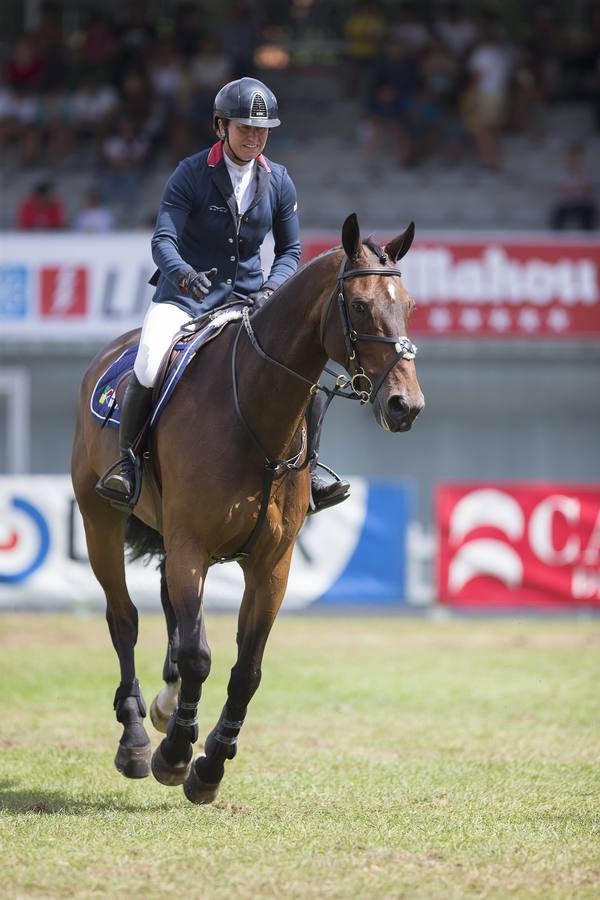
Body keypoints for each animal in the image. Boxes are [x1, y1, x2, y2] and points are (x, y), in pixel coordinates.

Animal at [70, 214, 424, 804]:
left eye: (411, 305)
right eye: (358, 306)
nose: (406, 406)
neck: (256, 412)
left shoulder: (271, 564)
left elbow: (247, 670)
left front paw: (210, 764)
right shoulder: (191, 545)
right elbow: (200, 656)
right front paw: (175, 755)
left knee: (170, 613)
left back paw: (167, 706)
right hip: (101, 522)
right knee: (125, 620)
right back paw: (138, 738)